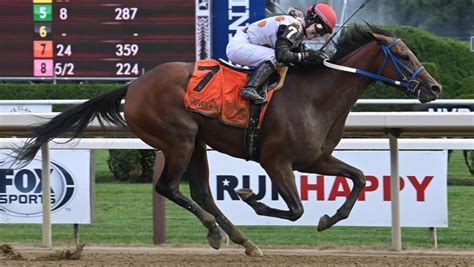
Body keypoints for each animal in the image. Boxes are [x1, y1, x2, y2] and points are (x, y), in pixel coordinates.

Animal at [11, 25, 440, 258]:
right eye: (403, 55)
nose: (433, 87)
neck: (317, 96)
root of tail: (134, 85)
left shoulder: (315, 159)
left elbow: (359, 178)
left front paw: (329, 218)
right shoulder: (275, 161)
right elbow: (295, 208)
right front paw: (251, 195)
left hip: (197, 143)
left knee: (201, 192)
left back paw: (243, 241)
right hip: (178, 139)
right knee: (168, 187)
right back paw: (218, 233)